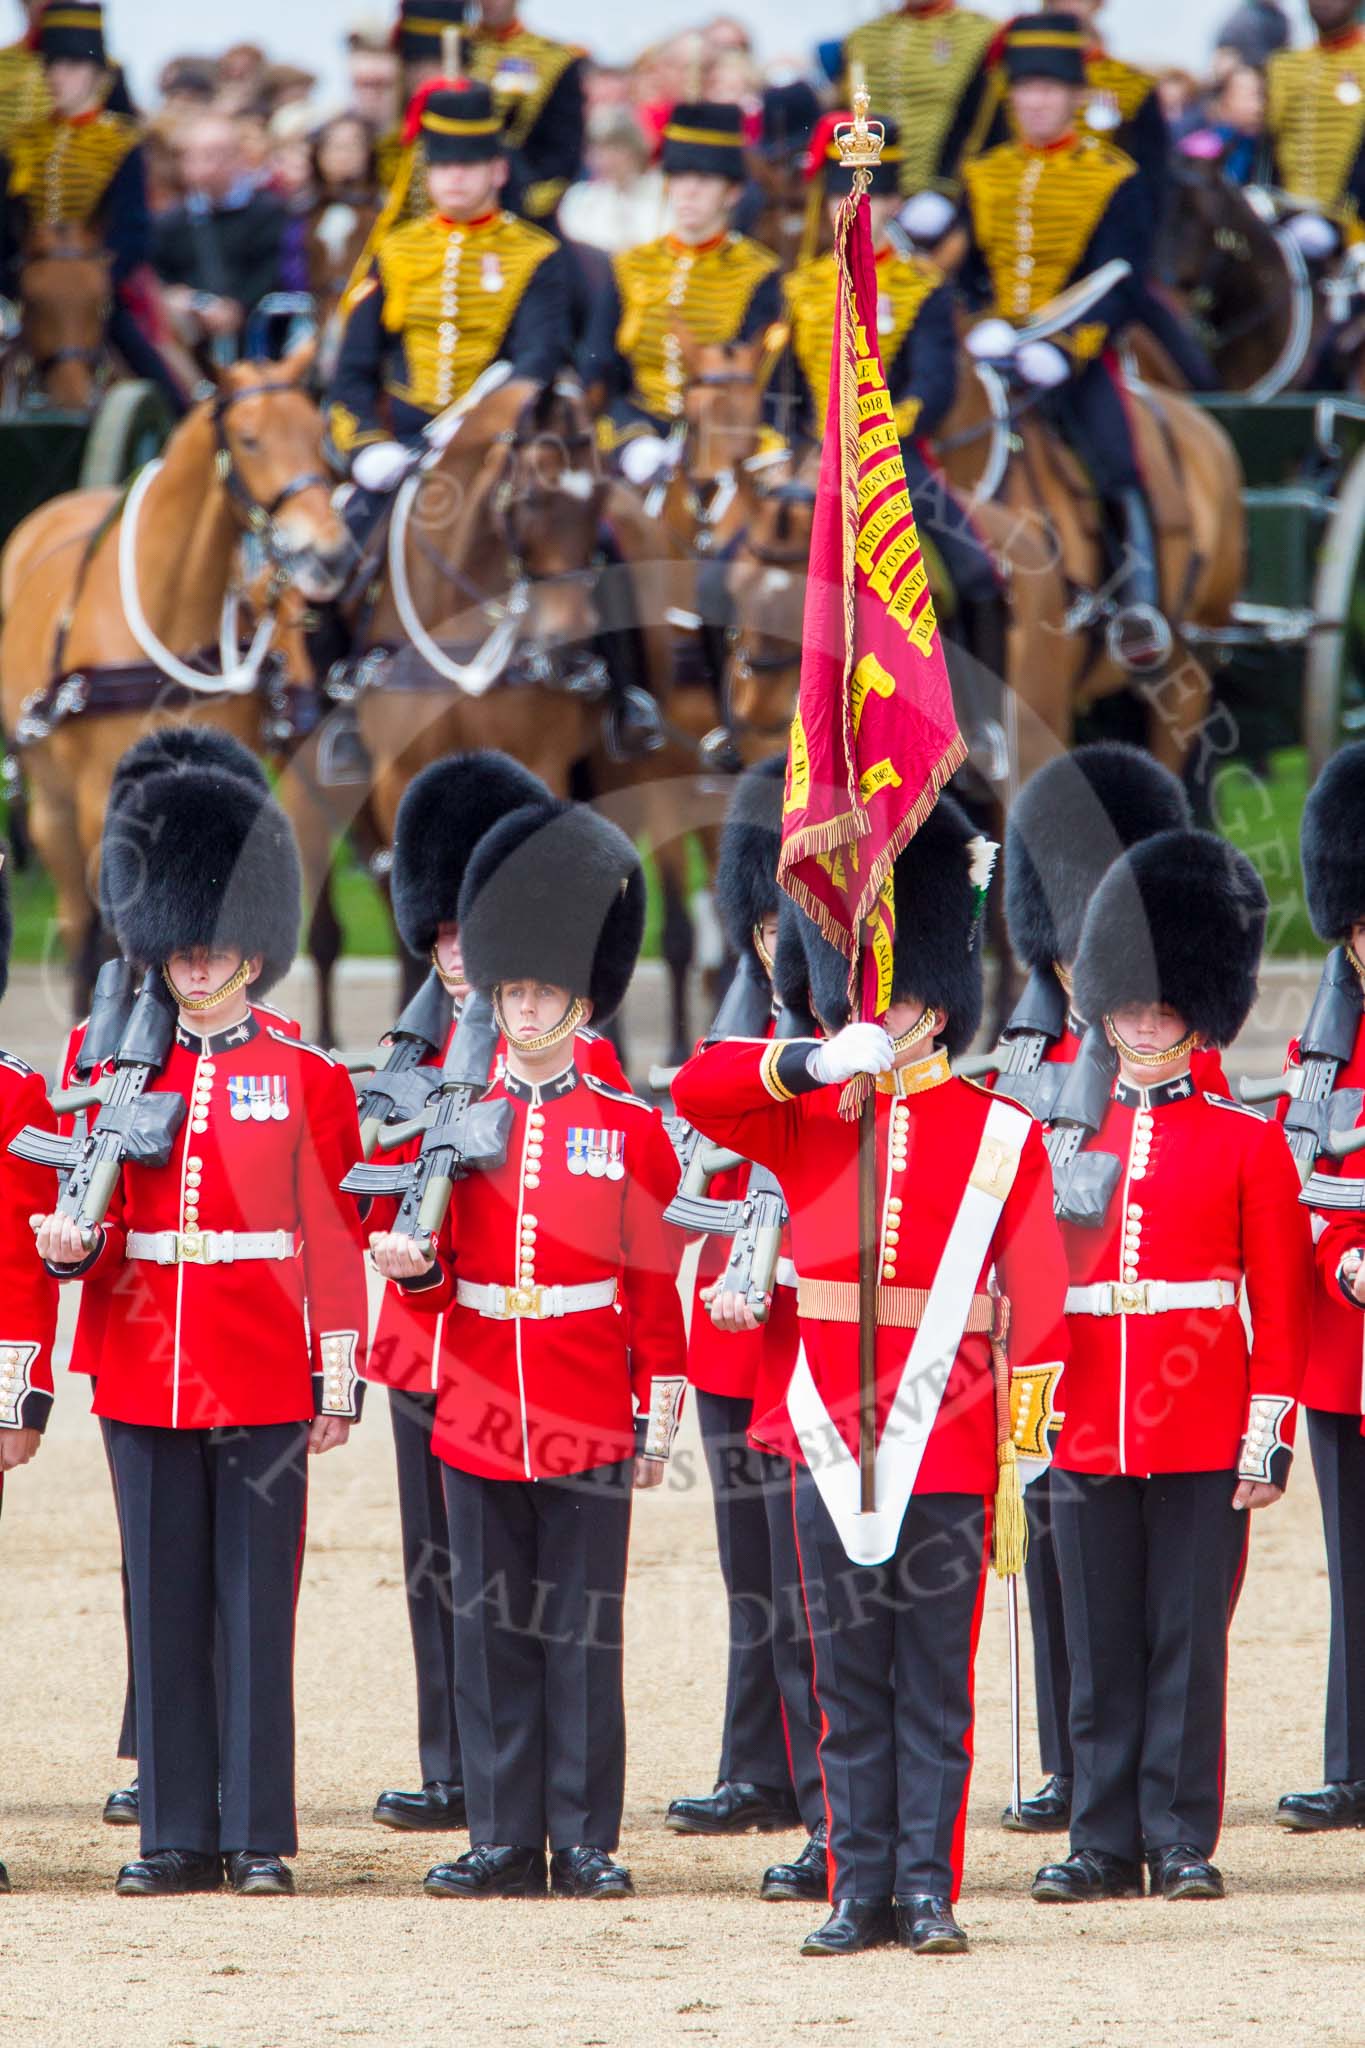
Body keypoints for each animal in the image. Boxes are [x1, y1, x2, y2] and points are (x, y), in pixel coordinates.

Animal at [1, 348, 351, 1011]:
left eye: (319, 436)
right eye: (249, 439)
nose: (329, 554)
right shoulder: (100, 802)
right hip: (53, 809)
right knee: (79, 924)